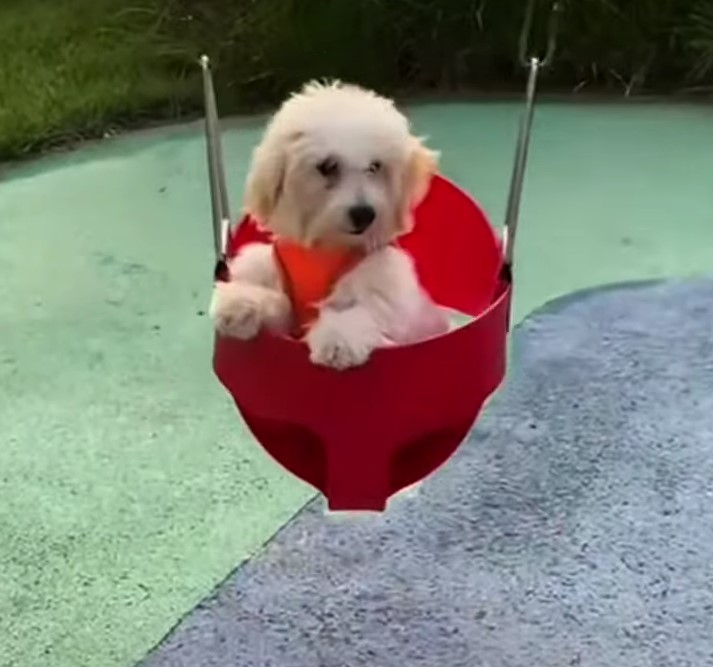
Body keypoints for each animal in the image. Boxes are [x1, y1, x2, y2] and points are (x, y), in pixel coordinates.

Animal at [209, 81, 448, 370]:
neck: (326, 245)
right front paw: (240, 304)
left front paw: (339, 341)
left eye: (375, 166)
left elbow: (356, 313)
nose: (364, 214)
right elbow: (276, 304)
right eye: (327, 166)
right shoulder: (285, 311)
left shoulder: (379, 292)